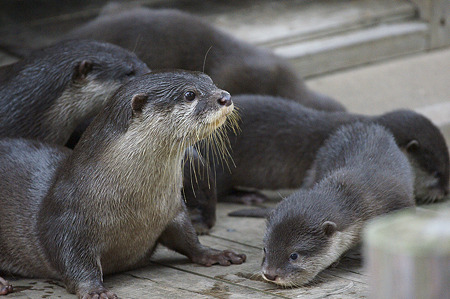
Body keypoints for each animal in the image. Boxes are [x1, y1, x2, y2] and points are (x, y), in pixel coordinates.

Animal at [0, 71, 246, 298]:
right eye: (189, 94)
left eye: (210, 81)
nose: (225, 96)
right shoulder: (66, 221)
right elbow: (74, 260)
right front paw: (94, 290)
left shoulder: (172, 210)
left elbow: (188, 237)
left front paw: (215, 253)